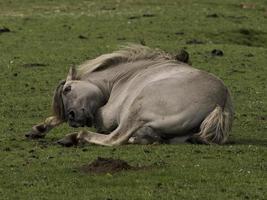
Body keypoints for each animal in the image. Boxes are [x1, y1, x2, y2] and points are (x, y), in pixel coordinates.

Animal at [25, 44, 234, 146]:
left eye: (68, 89)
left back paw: (74, 137)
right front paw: (39, 128)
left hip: (137, 108)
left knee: (114, 139)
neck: (121, 78)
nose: (71, 117)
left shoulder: (104, 116)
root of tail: (220, 103)